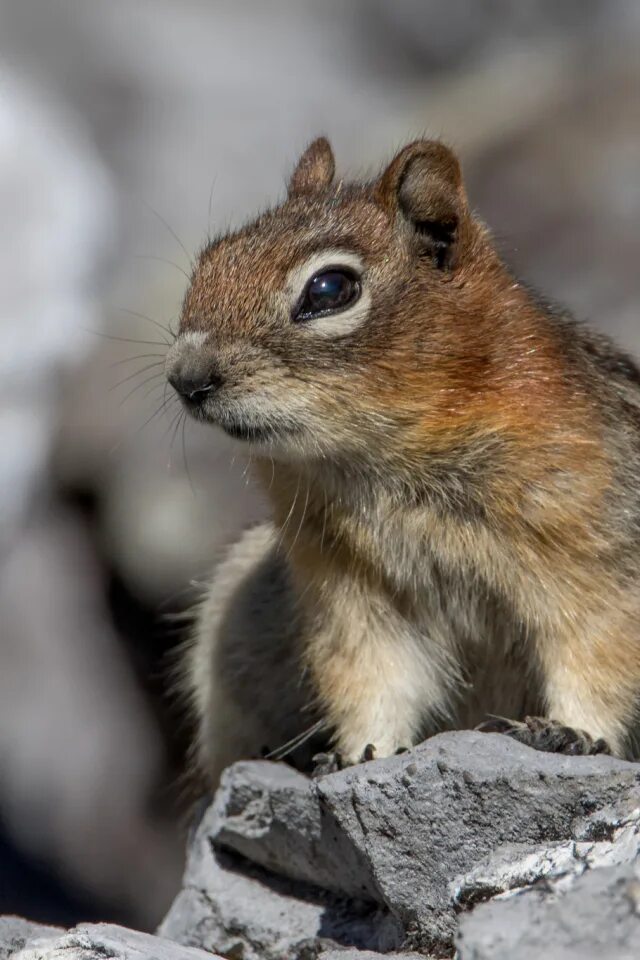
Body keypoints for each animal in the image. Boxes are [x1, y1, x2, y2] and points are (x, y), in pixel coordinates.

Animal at [166, 137, 640, 788]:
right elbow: (372, 676)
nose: (185, 379)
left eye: (328, 290)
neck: (385, 469)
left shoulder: (594, 562)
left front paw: (572, 733)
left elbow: (596, 653)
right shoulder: (352, 596)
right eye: (212, 258)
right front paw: (358, 753)